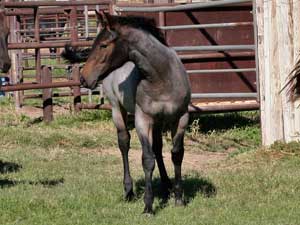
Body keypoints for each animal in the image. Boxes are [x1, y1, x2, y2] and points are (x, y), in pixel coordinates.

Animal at [62, 11, 191, 214]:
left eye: (103, 45)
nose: (84, 78)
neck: (162, 78)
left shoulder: (180, 117)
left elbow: (176, 154)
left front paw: (178, 199)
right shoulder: (142, 119)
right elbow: (147, 159)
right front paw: (148, 206)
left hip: (158, 120)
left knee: (157, 147)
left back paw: (166, 184)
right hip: (117, 109)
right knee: (124, 143)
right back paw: (129, 191)